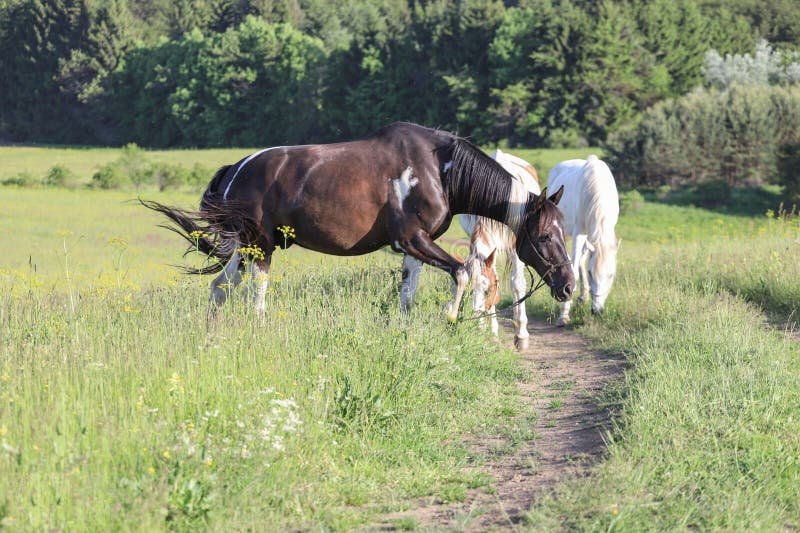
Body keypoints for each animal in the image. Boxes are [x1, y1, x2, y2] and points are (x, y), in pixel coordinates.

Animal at [141, 121, 572, 320]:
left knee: (219, 288)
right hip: (261, 247)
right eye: (545, 236)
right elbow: (464, 271)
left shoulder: (414, 248)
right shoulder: (414, 239)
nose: (568, 286)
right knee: (256, 296)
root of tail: (236, 169)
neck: (437, 168)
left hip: (245, 249)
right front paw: (451, 317)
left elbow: (408, 294)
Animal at [460, 149, 540, 350]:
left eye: (488, 289)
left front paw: (521, 335)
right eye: (469, 290)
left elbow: (518, 284)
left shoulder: (516, 248)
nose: (475, 321)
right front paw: (492, 332)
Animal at [548, 154, 620, 324]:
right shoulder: (579, 231)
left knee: (581, 257)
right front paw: (564, 315)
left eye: (611, 275)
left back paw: (582, 296)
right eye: (590, 273)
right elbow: (573, 269)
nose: (597, 311)